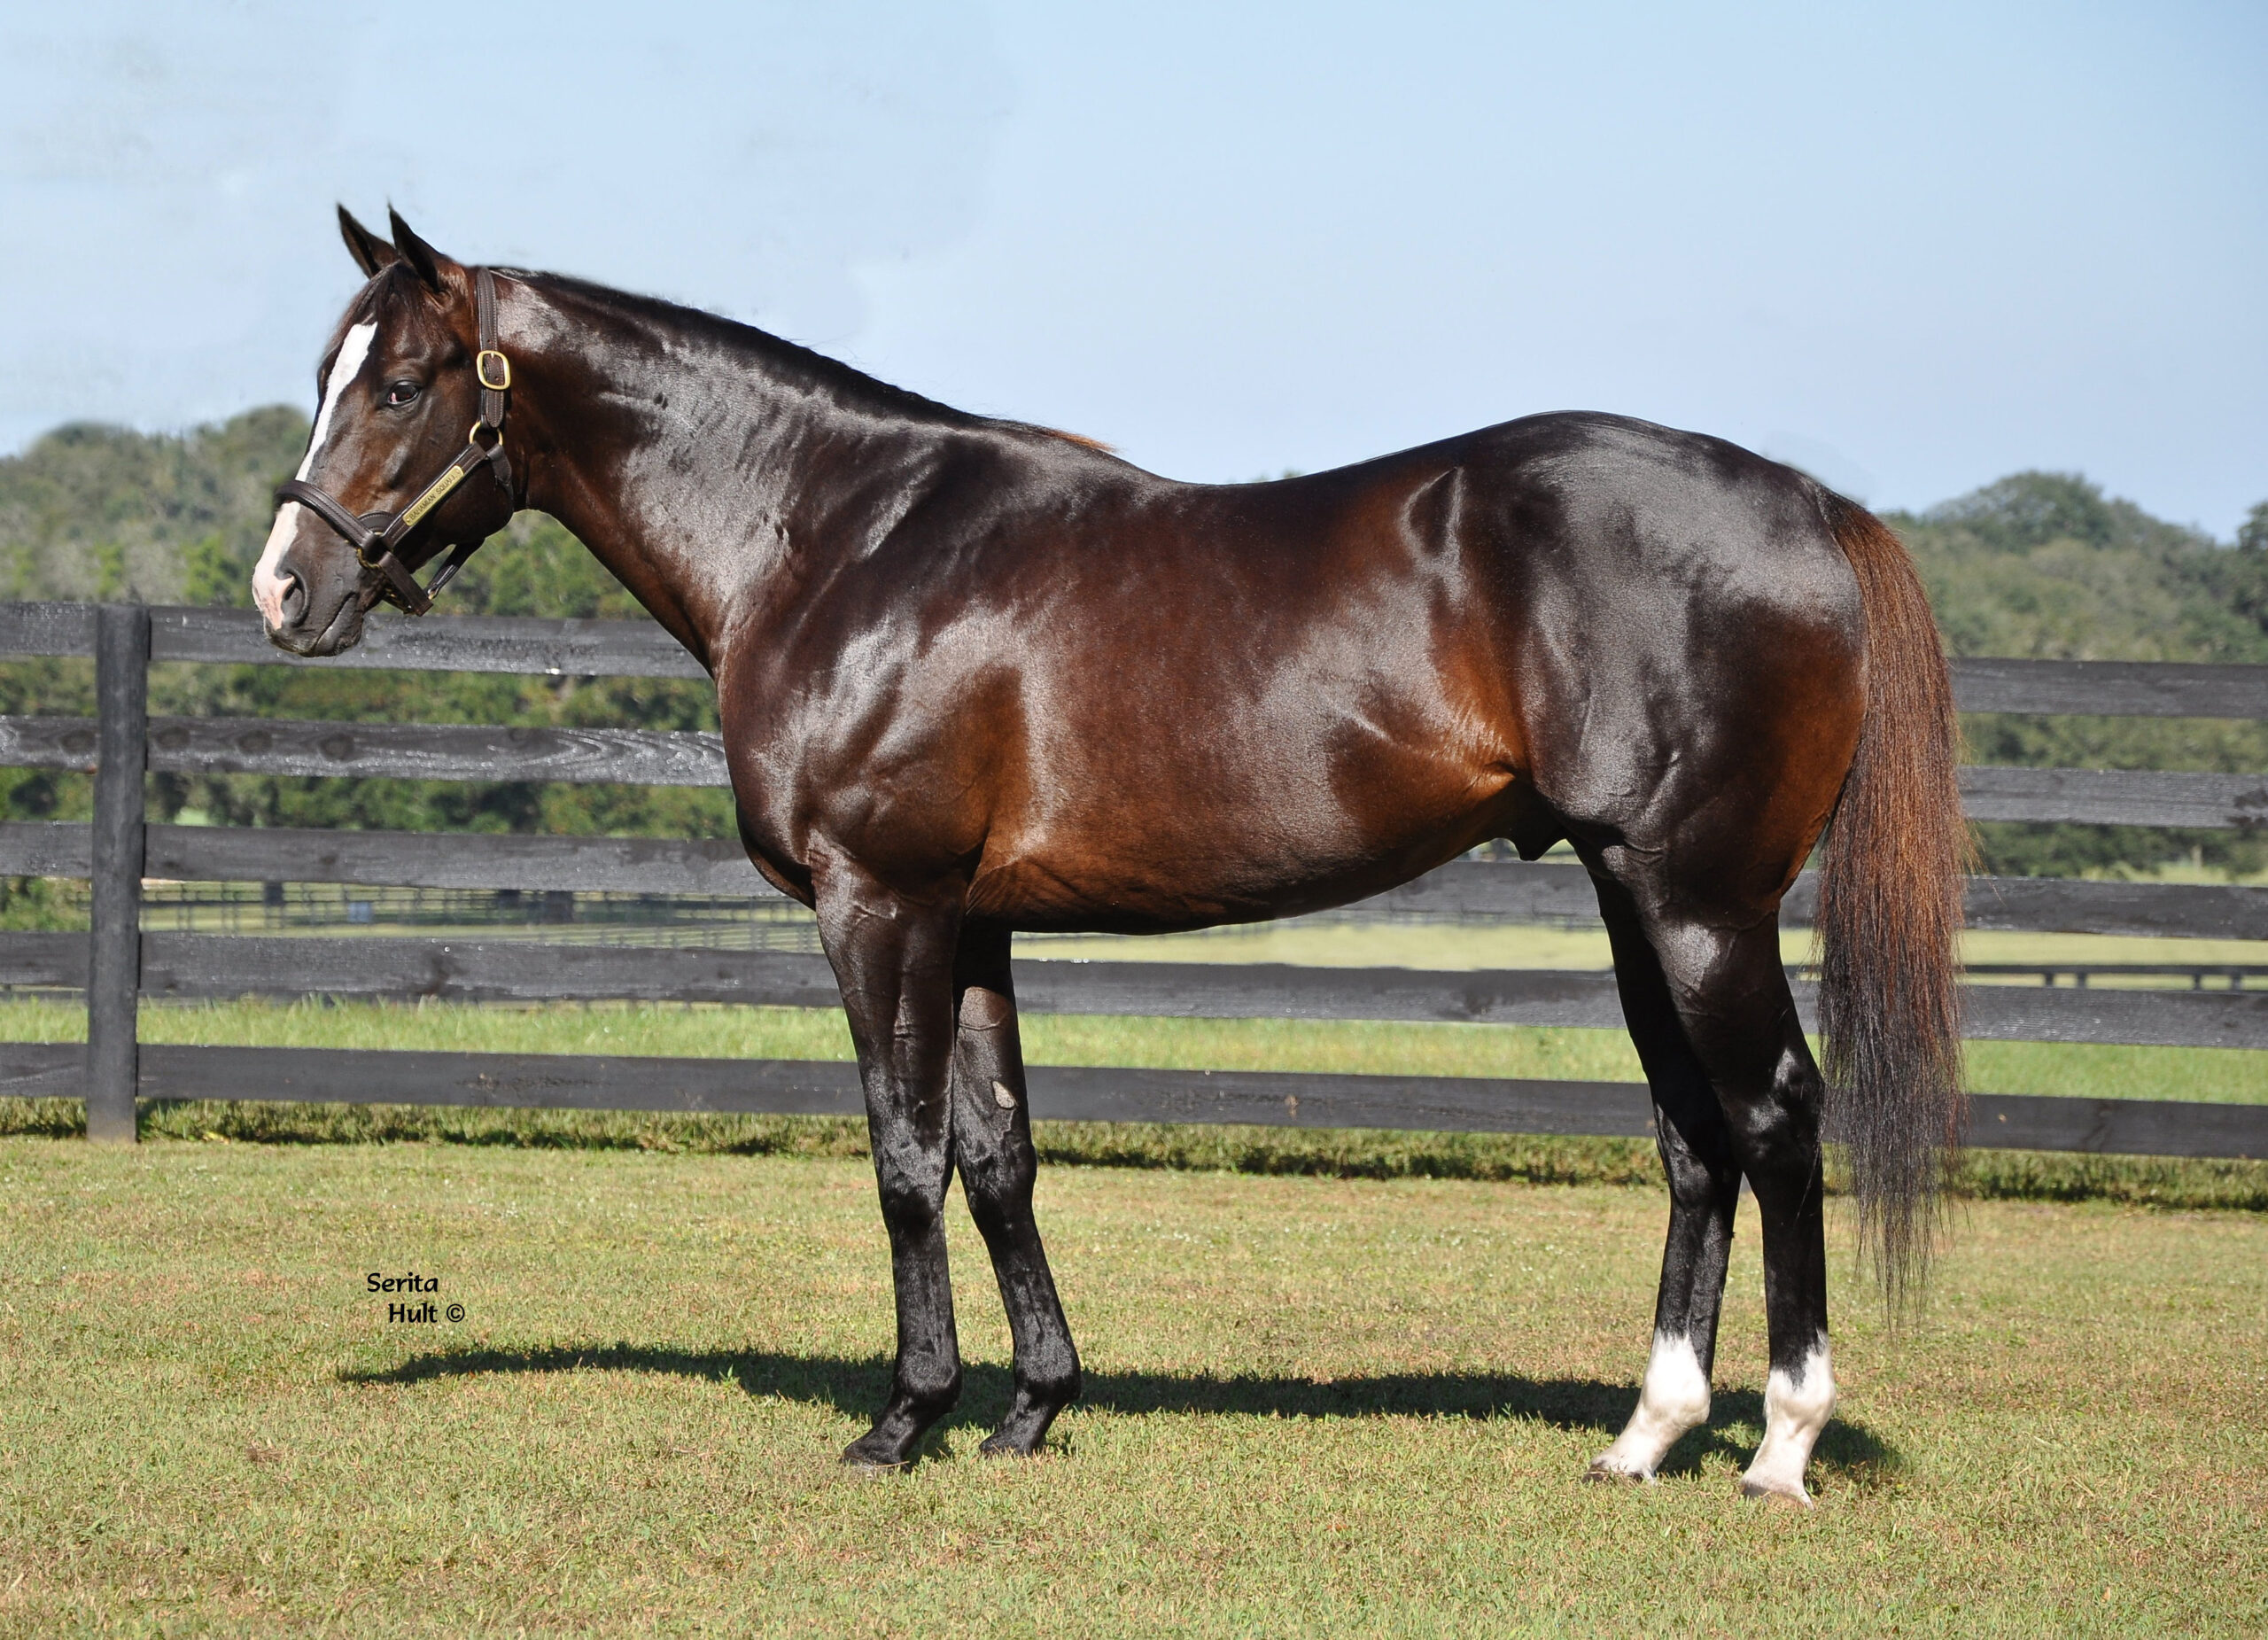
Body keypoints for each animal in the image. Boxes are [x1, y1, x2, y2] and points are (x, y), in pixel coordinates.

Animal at [254, 208, 1965, 1503]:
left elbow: (902, 1155)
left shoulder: (879, 904)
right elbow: (999, 1155)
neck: (841, 538)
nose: (284, 590)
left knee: (1774, 1116)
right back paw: (1646, 1435)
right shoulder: (973, 921)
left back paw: (1780, 1448)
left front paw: (903, 1417)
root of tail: (1810, 505)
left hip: (1700, 903)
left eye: (399, 381)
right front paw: (1030, 1406)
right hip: (1631, 897)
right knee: (1693, 1137)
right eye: (327, 369)